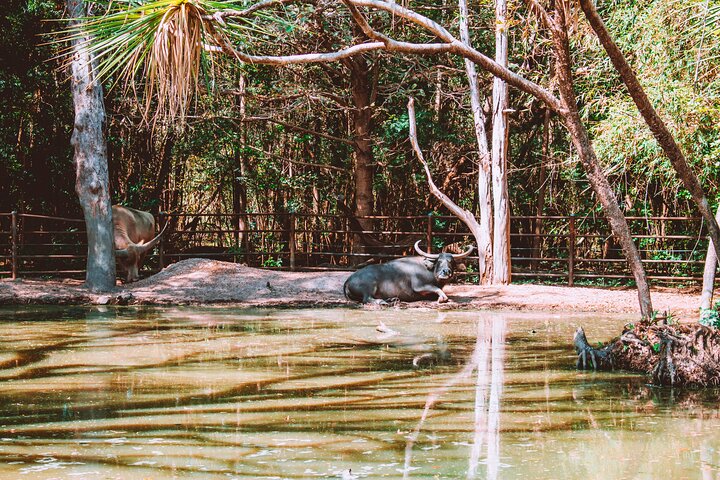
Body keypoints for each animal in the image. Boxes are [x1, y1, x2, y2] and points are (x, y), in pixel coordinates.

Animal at [342, 240, 472, 304]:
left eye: (451, 261)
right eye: (439, 261)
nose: (446, 271)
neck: (429, 270)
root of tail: (348, 280)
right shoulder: (419, 286)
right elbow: (438, 290)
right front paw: (442, 298)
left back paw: (392, 299)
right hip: (369, 286)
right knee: (367, 299)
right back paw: (382, 302)